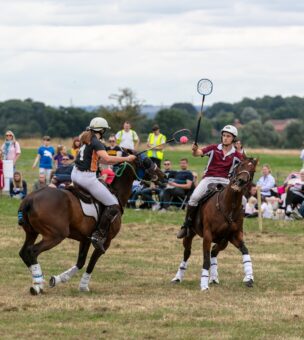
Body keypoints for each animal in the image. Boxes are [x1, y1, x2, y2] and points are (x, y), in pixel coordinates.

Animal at [18, 155, 164, 294]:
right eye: (147, 162)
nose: (164, 175)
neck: (115, 193)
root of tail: (29, 199)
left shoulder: (85, 239)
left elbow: (81, 262)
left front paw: (58, 279)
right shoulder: (105, 242)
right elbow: (91, 264)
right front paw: (83, 286)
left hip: (31, 232)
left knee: (24, 252)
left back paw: (38, 282)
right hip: (55, 235)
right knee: (32, 251)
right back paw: (37, 285)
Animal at [172, 157, 258, 290]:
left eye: (252, 170)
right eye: (240, 165)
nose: (240, 181)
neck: (229, 206)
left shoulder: (232, 236)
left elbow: (245, 251)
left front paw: (249, 278)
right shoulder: (208, 235)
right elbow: (206, 259)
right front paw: (204, 285)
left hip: (223, 241)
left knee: (214, 252)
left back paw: (213, 278)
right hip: (190, 234)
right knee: (187, 252)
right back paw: (178, 277)